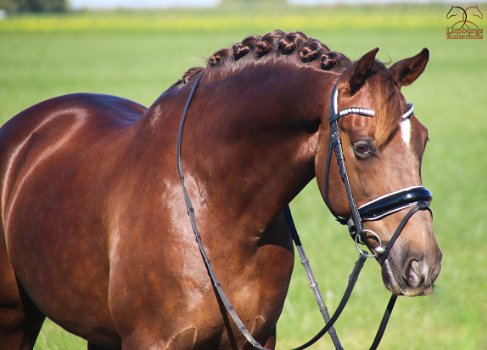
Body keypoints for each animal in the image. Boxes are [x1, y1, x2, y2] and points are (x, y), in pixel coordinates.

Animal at [0, 31, 442, 348]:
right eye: (364, 148)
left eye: (423, 140)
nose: (423, 265)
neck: (215, 208)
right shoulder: (150, 342)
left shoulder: (257, 338)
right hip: (15, 318)